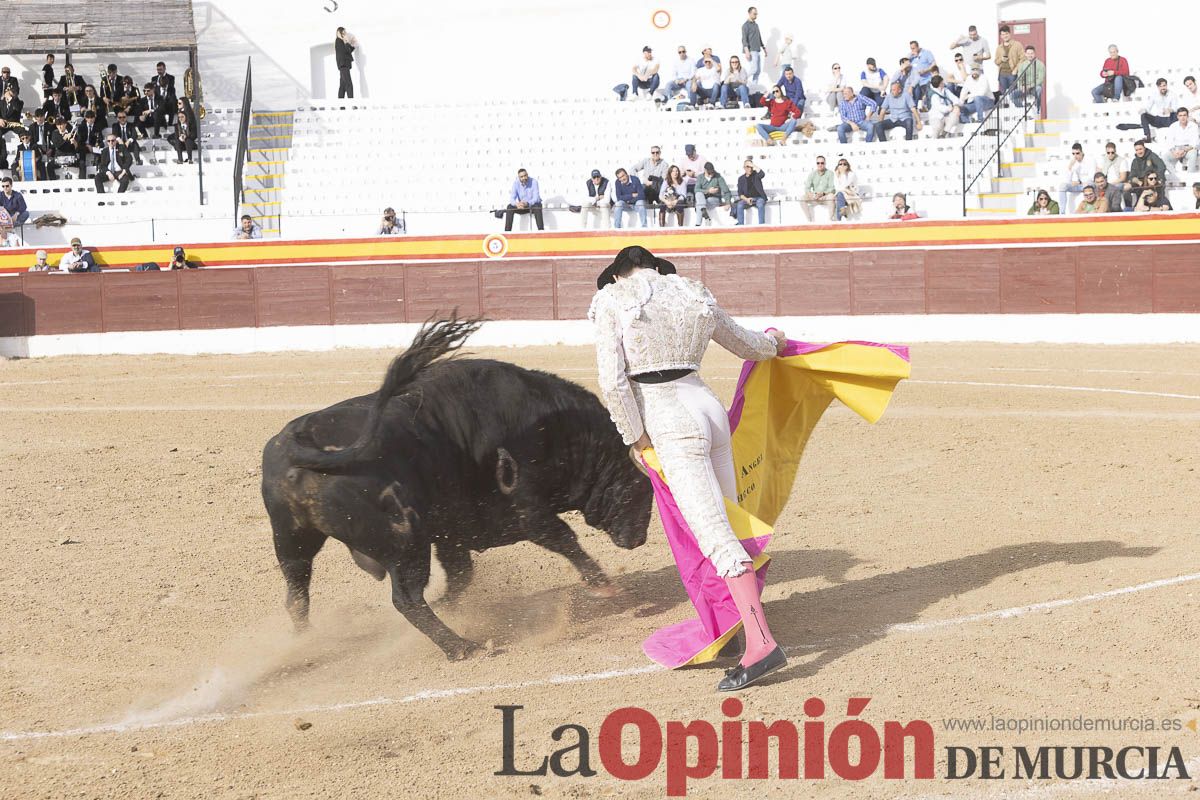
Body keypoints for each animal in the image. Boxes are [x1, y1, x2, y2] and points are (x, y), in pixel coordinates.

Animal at [262, 316, 652, 662]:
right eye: (641, 486)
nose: (638, 540)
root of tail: (300, 442)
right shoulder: (527, 506)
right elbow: (562, 538)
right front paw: (603, 585)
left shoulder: (452, 530)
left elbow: (461, 576)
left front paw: (447, 604)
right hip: (406, 542)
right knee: (406, 598)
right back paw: (462, 648)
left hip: (293, 540)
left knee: (297, 594)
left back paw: (306, 645)